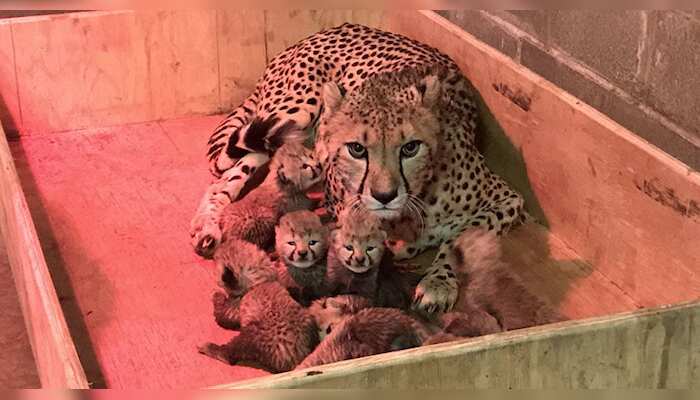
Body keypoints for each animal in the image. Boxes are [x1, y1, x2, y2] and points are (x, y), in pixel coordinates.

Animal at [190, 22, 526, 314]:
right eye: (357, 148)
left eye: (410, 147)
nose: (384, 195)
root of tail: (324, 32)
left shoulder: (508, 199)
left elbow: (458, 238)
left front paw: (437, 282)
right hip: (289, 115)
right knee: (224, 178)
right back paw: (206, 227)